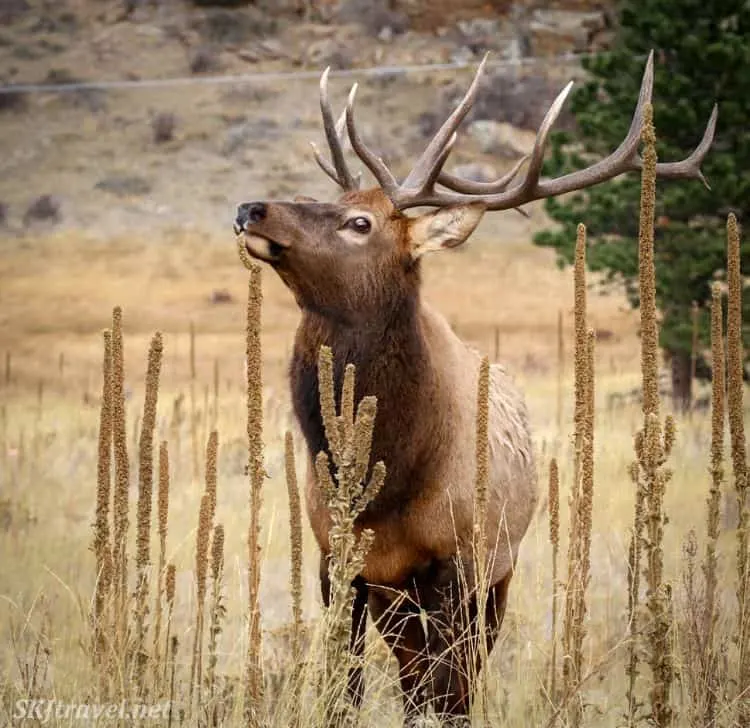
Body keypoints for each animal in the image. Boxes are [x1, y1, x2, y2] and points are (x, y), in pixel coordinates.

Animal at [235, 52, 716, 724]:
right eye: (321, 198)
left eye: (359, 222)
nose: (252, 208)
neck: (393, 473)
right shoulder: (338, 561)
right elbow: (344, 692)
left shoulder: (459, 562)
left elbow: (450, 694)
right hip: (395, 601)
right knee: (414, 682)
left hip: (494, 579)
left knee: (450, 684)